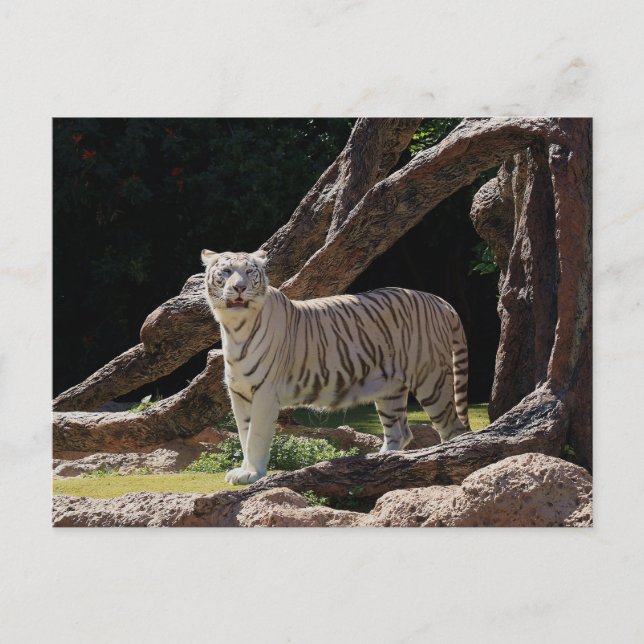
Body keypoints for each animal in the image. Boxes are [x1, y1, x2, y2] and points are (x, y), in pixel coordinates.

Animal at [202, 249, 471, 485]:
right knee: (400, 431)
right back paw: (380, 463)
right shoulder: (239, 392)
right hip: (390, 389)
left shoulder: (265, 392)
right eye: (226, 271)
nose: (239, 287)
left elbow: (255, 435)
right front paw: (244, 471)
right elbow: (244, 433)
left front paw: (253, 474)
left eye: (249, 272)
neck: (236, 328)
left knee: (454, 431)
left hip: (432, 381)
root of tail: (440, 301)